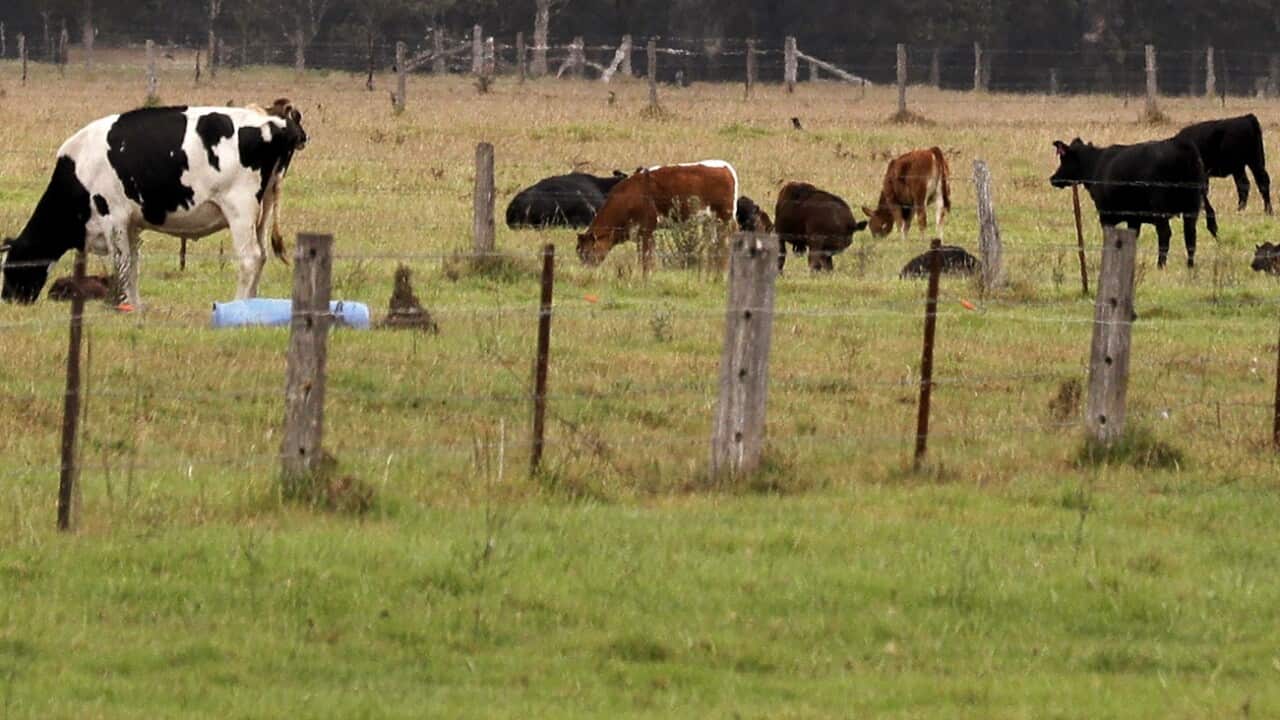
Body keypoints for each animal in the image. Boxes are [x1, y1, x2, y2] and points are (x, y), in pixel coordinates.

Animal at [1, 101, 307, 306]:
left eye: (11, 266)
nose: (8, 299)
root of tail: (275, 123)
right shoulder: (132, 224)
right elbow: (133, 266)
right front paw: (134, 306)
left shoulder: (114, 217)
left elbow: (122, 263)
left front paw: (123, 305)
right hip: (264, 209)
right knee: (262, 256)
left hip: (240, 209)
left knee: (250, 258)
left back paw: (239, 306)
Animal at [576, 160, 738, 267]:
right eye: (579, 253)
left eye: (586, 252)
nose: (586, 270)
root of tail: (726, 167)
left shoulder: (646, 229)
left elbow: (645, 260)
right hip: (710, 222)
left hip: (724, 219)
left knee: (725, 245)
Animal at [1050, 137, 1217, 268]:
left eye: (1064, 159)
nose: (1053, 178)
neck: (1095, 165)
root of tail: (1182, 145)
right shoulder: (1134, 218)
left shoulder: (1106, 215)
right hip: (1192, 206)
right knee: (1190, 235)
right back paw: (1190, 265)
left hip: (1160, 207)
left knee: (1165, 233)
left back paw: (1160, 265)